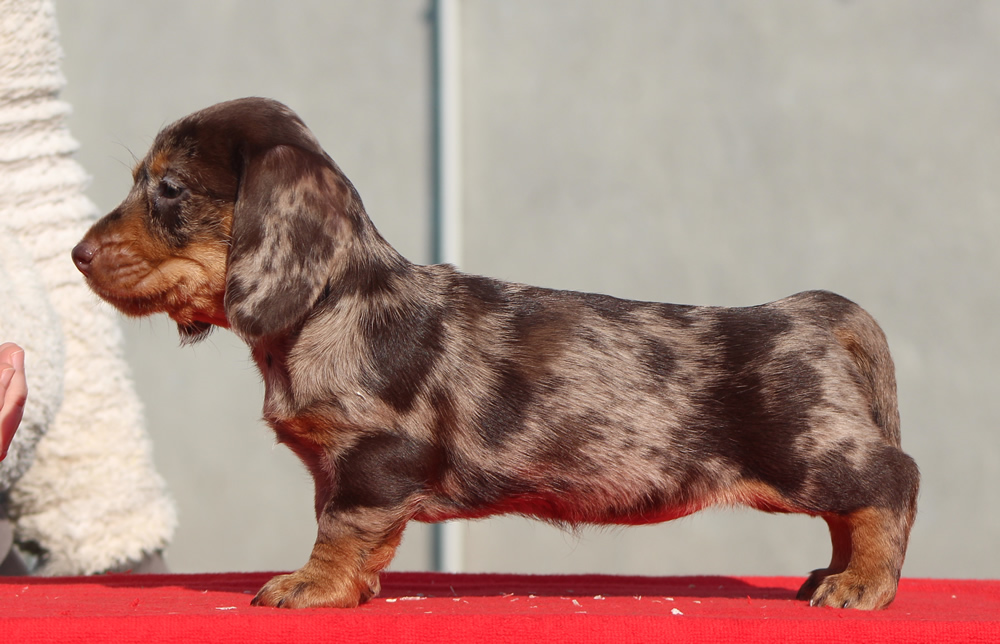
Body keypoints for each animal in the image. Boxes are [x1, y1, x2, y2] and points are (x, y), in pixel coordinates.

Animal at [74, 97, 920, 608]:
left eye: (169, 189)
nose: (77, 255)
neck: (328, 306)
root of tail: (815, 311)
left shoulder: (373, 458)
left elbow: (340, 529)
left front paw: (309, 586)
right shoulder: (337, 467)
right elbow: (347, 530)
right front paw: (349, 585)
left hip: (807, 454)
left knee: (892, 484)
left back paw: (862, 585)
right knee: (851, 513)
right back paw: (836, 571)